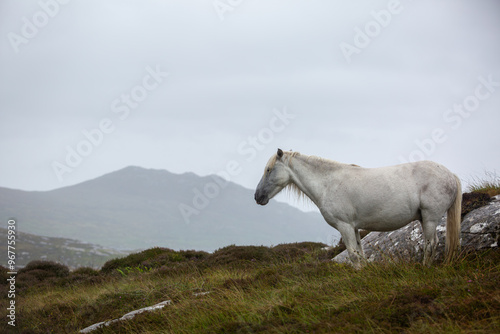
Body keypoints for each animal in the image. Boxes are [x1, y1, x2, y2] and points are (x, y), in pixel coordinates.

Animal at [256, 149, 462, 266]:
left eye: (268, 170)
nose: (258, 197)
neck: (328, 183)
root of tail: (450, 174)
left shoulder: (345, 226)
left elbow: (353, 256)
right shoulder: (354, 228)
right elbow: (361, 255)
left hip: (430, 218)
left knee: (430, 244)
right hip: (425, 219)